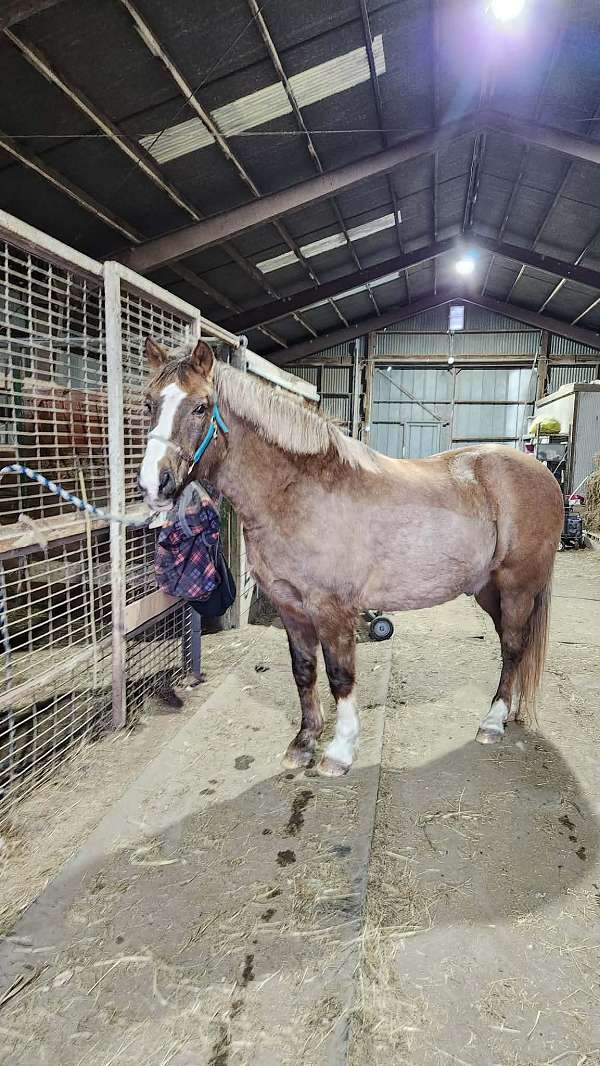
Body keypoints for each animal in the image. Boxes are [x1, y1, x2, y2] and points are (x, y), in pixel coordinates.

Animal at [138, 338, 564, 777]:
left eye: (201, 407)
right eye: (148, 403)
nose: (155, 483)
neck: (297, 492)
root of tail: (543, 474)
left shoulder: (331, 608)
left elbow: (340, 675)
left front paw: (339, 752)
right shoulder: (291, 606)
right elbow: (304, 671)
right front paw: (303, 743)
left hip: (517, 587)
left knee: (513, 646)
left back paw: (492, 722)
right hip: (488, 590)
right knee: (513, 646)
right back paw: (509, 712)